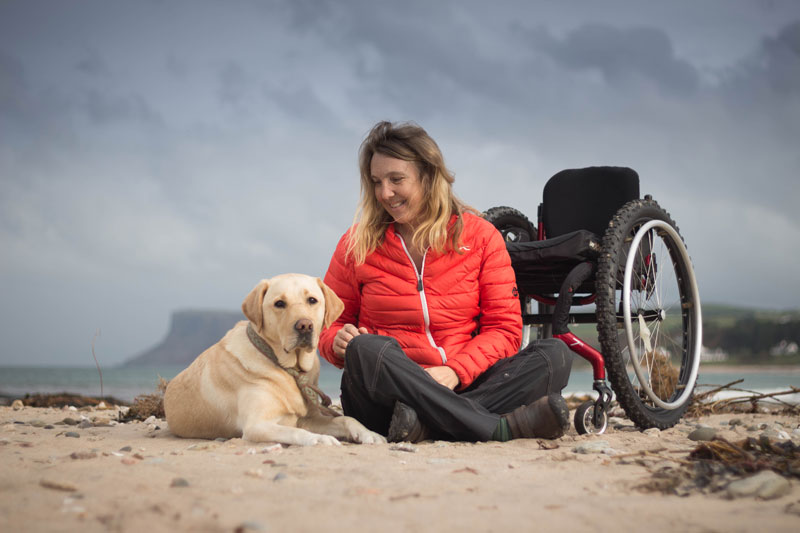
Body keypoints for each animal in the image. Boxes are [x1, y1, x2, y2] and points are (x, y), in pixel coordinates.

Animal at [163, 274, 384, 444]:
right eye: (279, 303)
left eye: (312, 300)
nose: (305, 325)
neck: (289, 369)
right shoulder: (257, 425)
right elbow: (295, 432)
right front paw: (319, 439)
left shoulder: (309, 418)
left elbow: (347, 419)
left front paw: (369, 433)